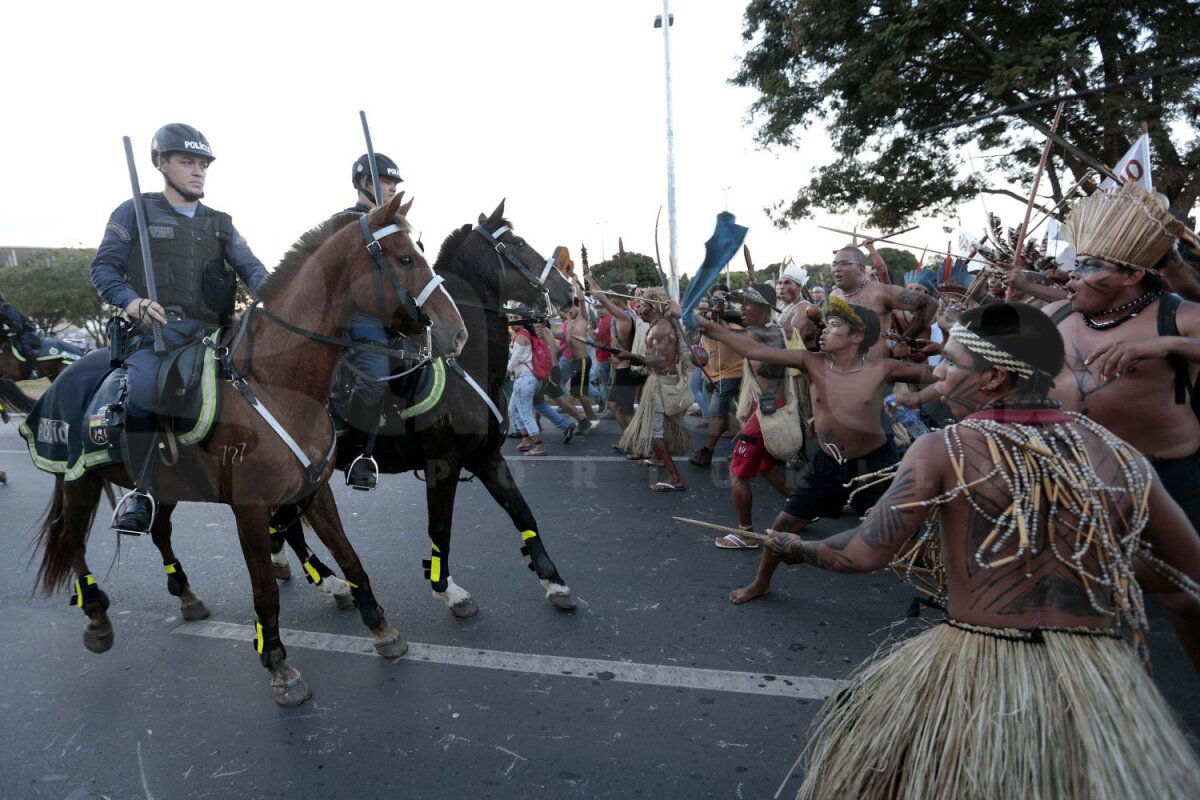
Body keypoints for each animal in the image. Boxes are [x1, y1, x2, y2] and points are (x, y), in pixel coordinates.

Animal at [27, 194, 468, 705]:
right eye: (405, 259)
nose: (457, 333)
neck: (277, 383)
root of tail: (64, 373)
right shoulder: (250, 509)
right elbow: (264, 591)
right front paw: (278, 664)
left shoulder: (315, 490)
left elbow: (350, 556)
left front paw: (381, 628)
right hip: (77, 479)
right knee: (72, 541)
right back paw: (97, 615)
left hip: (162, 485)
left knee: (159, 532)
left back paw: (186, 594)